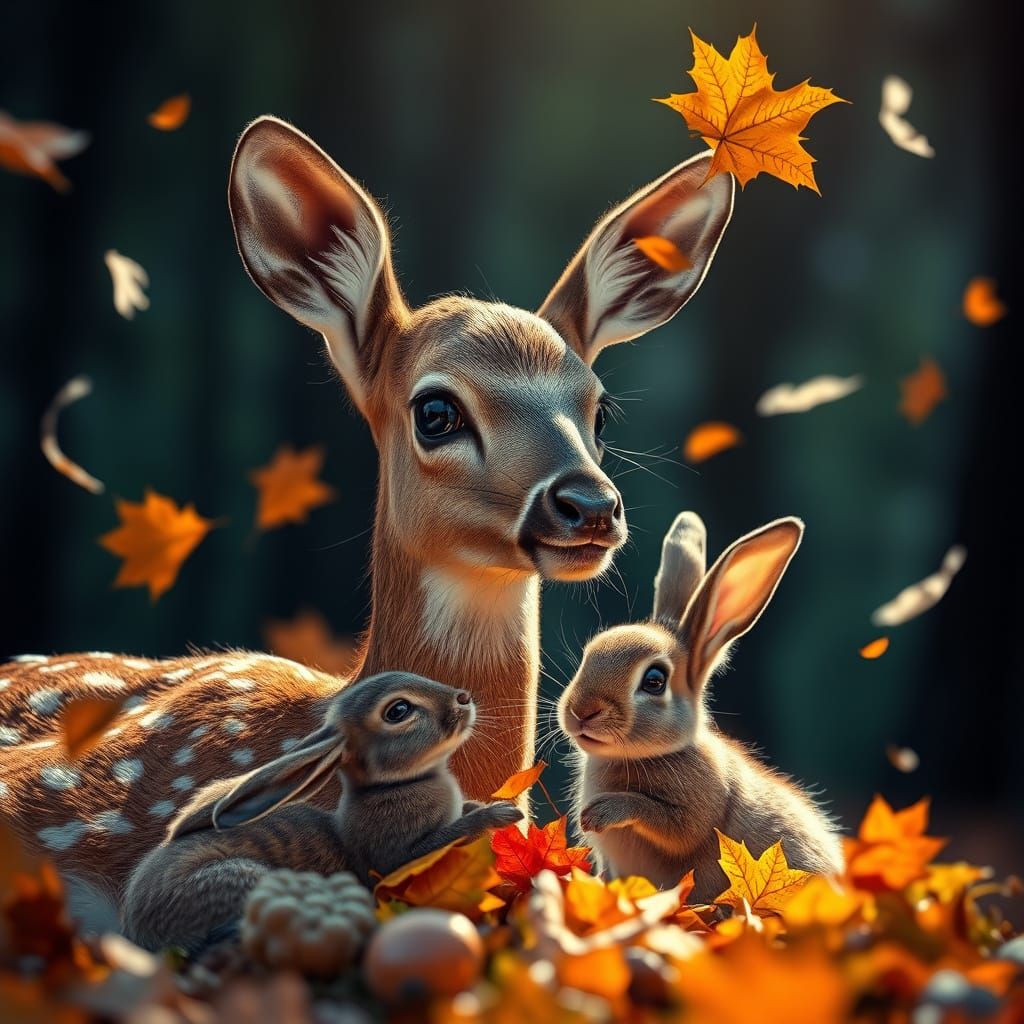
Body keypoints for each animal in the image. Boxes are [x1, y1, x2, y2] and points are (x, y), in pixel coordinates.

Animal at [122, 671, 523, 953]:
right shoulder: (395, 859)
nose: (464, 697)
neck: (391, 786)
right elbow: (439, 840)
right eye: (398, 711)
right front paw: (499, 814)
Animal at [558, 511, 843, 903]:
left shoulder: (698, 808)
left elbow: (673, 826)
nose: (581, 711)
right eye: (588, 654)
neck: (649, 754)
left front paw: (602, 813)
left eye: (654, 680)